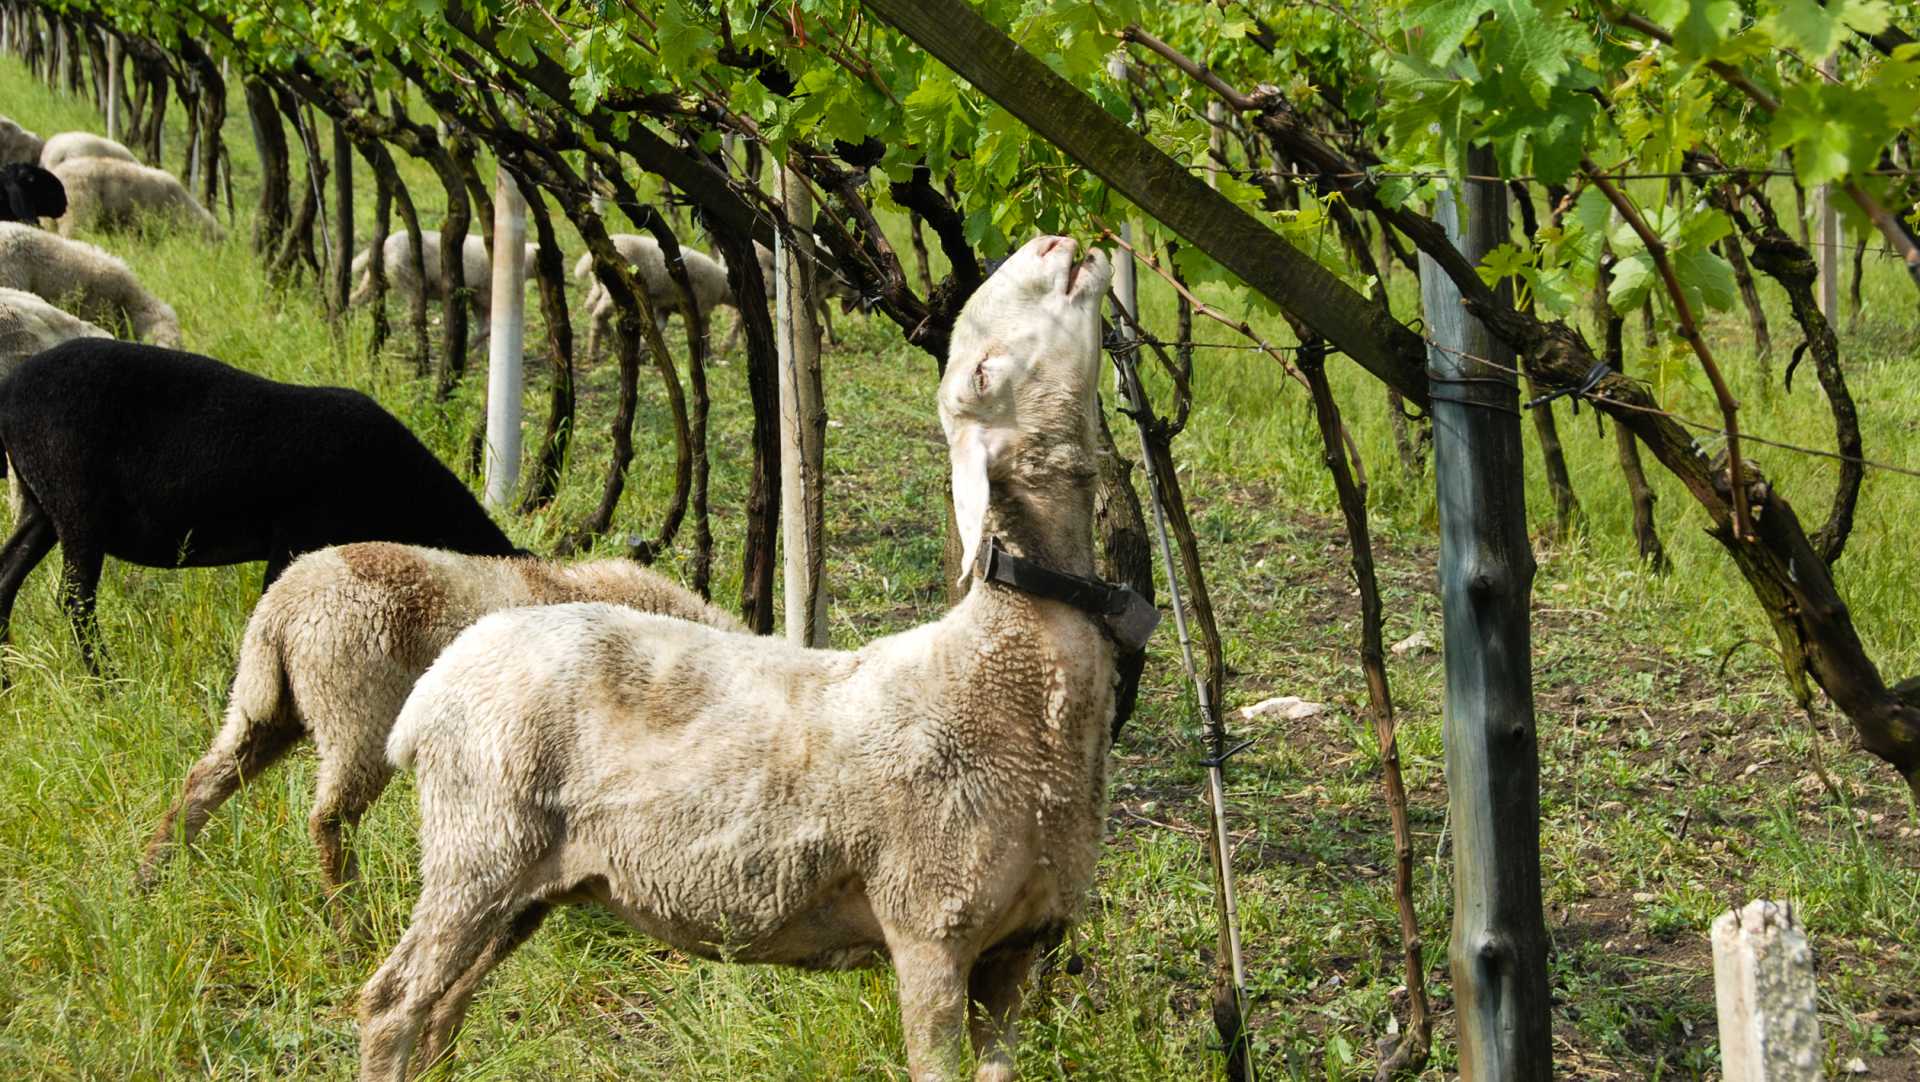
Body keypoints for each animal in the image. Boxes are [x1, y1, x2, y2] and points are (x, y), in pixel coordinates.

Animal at [0, 339, 522, 675]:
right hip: (75, 498)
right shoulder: (297, 534)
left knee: (7, 577)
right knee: (76, 601)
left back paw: (7, 677)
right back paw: (107, 684)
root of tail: (11, 390)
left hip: (39, 502)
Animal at [137, 541, 741, 897]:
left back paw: (150, 878)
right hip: (358, 714)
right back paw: (351, 923)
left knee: (204, 781)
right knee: (331, 819)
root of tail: (281, 610)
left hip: (262, 706)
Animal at [357, 236, 1121, 1082]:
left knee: (443, 1008)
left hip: (527, 881)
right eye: (984, 374)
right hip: (479, 843)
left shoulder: (1018, 948)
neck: (1006, 668)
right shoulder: (931, 925)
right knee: (394, 1004)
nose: (1053, 243)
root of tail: (439, 682)